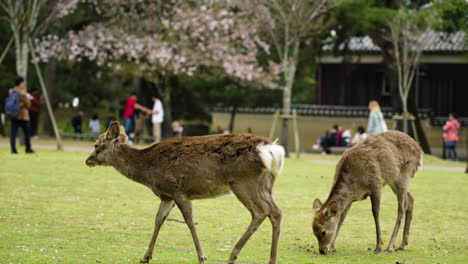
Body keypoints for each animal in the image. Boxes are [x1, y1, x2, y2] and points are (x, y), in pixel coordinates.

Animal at [84, 122, 286, 264]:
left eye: (96, 145)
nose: (88, 160)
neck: (147, 169)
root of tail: (270, 149)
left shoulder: (177, 190)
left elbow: (189, 220)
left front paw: (202, 257)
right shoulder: (167, 196)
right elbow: (158, 220)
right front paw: (146, 256)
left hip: (242, 182)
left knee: (260, 212)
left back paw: (232, 256)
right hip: (265, 185)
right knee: (276, 212)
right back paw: (272, 259)